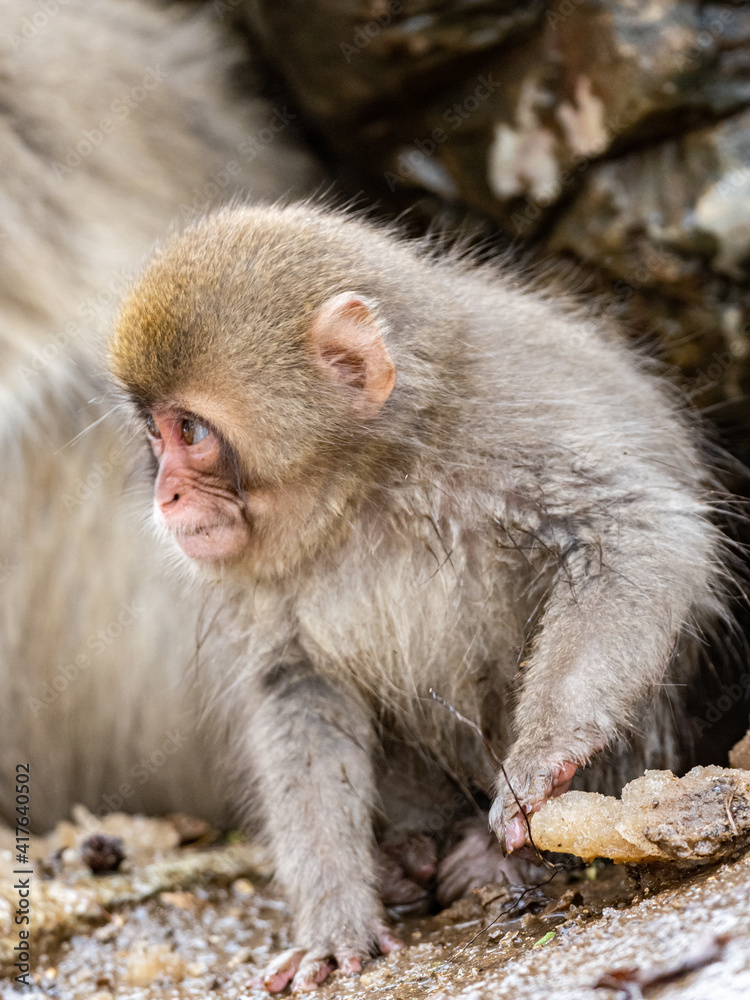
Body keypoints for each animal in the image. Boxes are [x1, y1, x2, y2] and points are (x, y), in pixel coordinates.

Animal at [108, 201, 727, 992]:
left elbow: (634, 532)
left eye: (189, 430)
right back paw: (408, 857)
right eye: (154, 434)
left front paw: (544, 755)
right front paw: (335, 917)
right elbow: (299, 692)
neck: (365, 481)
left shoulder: (508, 432)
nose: (166, 494)